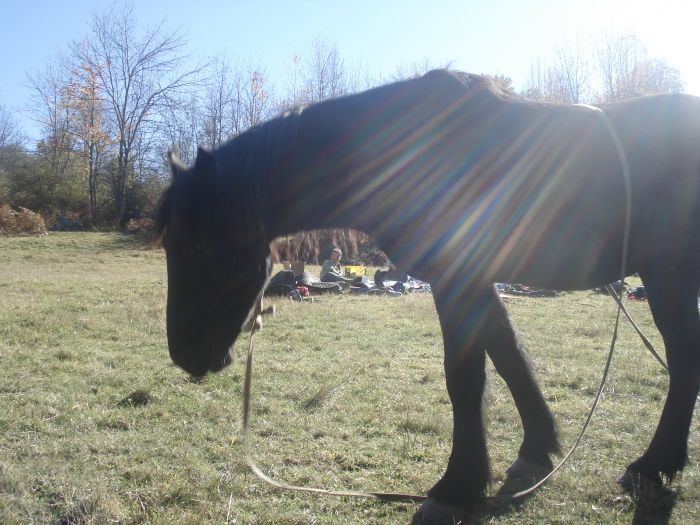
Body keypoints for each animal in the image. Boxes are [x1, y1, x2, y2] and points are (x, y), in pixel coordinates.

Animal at [154, 70, 700, 524]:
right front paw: (536, 449)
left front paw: (457, 488)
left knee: (684, 365)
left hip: (669, 274)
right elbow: (509, 357)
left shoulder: (457, 277)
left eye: (198, 244)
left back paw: (652, 466)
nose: (185, 355)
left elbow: (465, 377)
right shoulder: (476, 281)